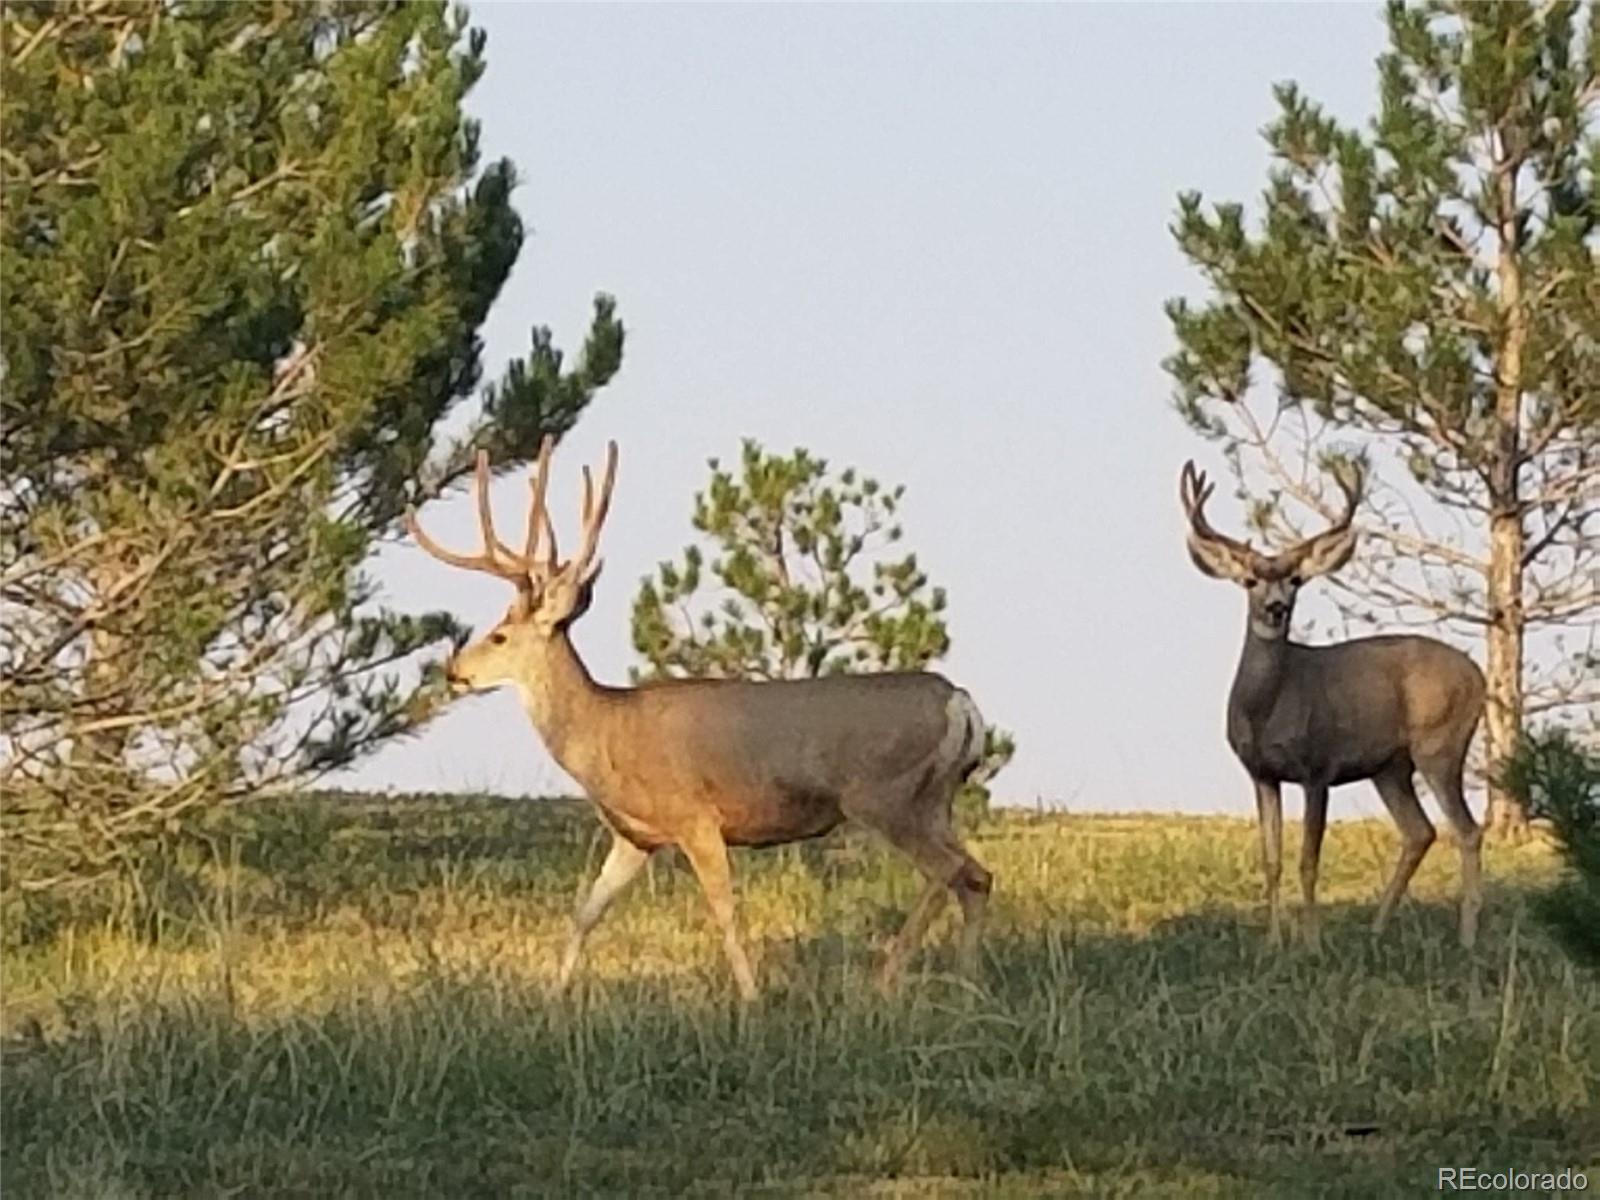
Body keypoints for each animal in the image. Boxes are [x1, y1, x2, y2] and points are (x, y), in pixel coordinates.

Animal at [405, 437, 995, 1001]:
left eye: (500, 635)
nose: (454, 671)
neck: (605, 732)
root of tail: (960, 702)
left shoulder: (696, 816)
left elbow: (724, 911)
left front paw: (752, 999)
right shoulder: (636, 837)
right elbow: (586, 912)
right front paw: (552, 1000)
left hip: (883, 794)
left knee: (949, 874)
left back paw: (886, 983)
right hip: (933, 800)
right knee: (977, 876)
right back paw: (967, 987)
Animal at [1178, 460, 1485, 949]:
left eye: (1296, 580)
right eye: (1249, 580)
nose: (1277, 608)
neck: (1266, 713)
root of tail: (1479, 675)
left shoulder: (1318, 767)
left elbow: (1308, 860)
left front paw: (1312, 944)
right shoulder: (1261, 773)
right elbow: (1272, 860)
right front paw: (1273, 943)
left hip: (1440, 744)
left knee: (1468, 830)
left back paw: (1467, 937)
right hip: (1390, 766)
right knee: (1420, 831)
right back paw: (1377, 928)